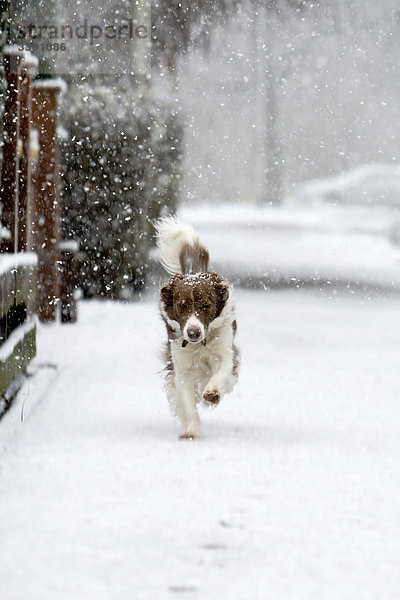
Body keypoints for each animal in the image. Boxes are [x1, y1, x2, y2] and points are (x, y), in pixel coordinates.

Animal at [155, 218, 238, 438]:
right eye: (182, 305)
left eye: (205, 306)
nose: (193, 332)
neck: (200, 344)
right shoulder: (181, 367)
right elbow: (187, 401)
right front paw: (191, 432)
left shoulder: (225, 352)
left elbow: (221, 372)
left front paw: (212, 393)